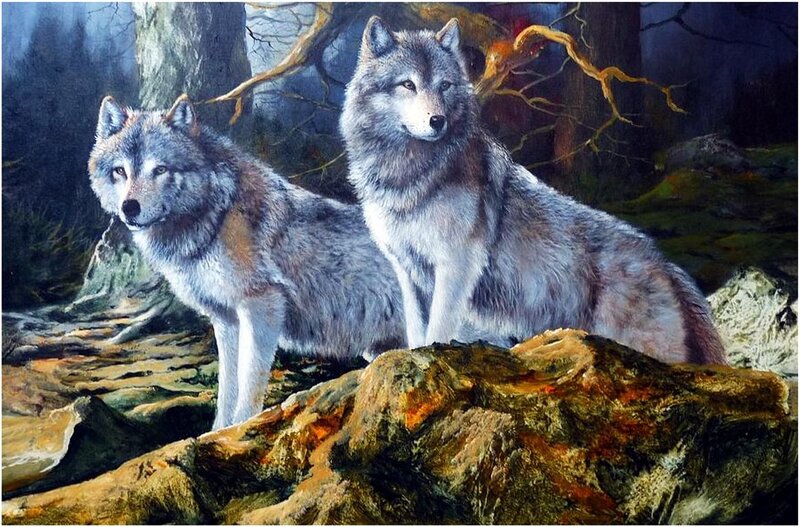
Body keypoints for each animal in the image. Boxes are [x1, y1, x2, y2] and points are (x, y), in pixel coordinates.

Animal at [89, 95, 405, 429]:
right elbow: (228, 385)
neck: (214, 218)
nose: (129, 208)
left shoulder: (261, 305)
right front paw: (218, 431)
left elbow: (250, 381)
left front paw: (242, 425)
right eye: (120, 171)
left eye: (160, 169)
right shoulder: (226, 319)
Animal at [340, 17, 726, 364]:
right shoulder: (407, 272)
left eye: (445, 85)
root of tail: (665, 264)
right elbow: (417, 332)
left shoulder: (455, 265)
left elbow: (437, 331)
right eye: (408, 84)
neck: (410, 176)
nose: (438, 121)